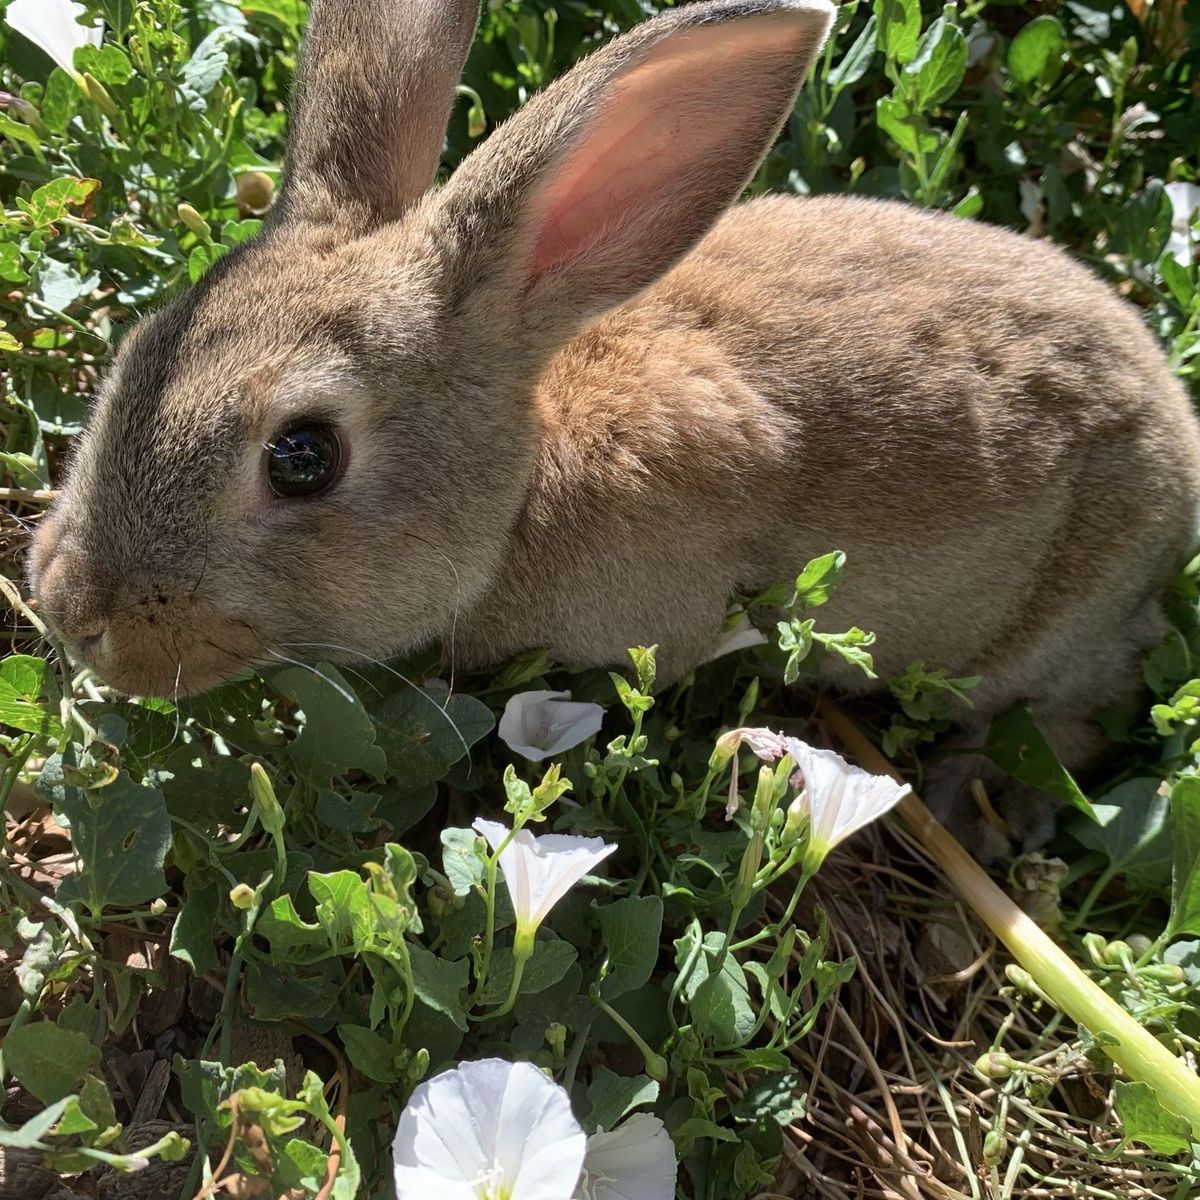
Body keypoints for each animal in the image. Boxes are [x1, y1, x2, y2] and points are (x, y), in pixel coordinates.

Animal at [29, 0, 1200, 855]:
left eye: (302, 458)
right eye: (139, 345)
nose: (70, 608)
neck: (521, 479)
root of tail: (1174, 433)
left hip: (1058, 626)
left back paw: (979, 799)